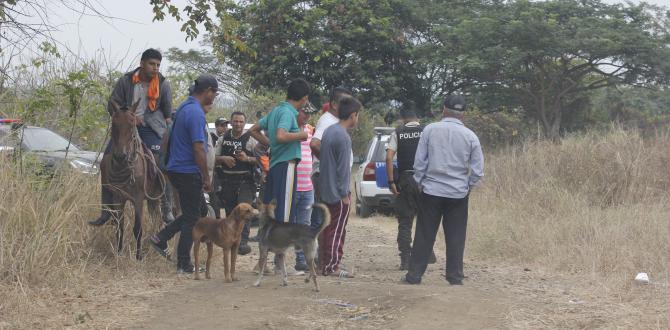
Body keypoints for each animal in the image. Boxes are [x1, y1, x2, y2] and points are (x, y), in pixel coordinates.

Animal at [101, 100, 166, 260]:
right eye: (114, 124)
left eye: (132, 125)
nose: (120, 156)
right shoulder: (118, 198)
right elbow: (119, 226)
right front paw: (118, 253)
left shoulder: (138, 199)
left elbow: (137, 228)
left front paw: (138, 256)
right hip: (153, 200)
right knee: (156, 220)